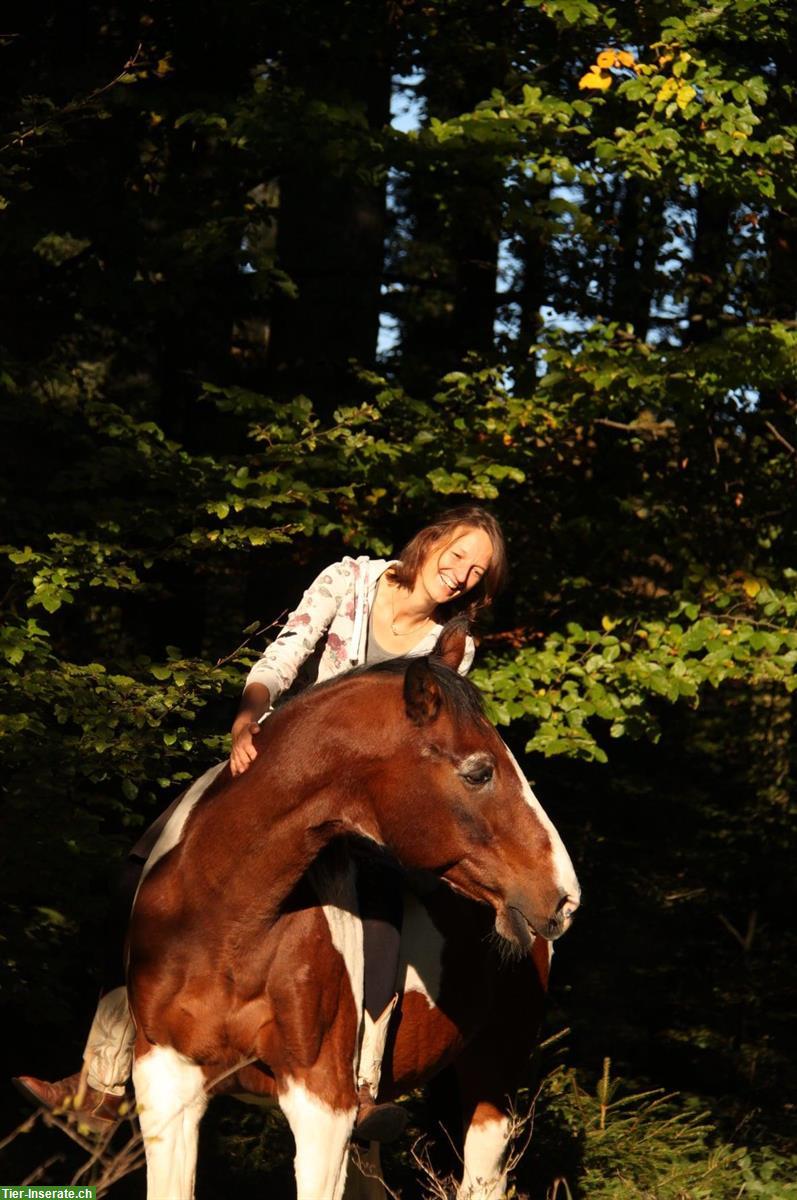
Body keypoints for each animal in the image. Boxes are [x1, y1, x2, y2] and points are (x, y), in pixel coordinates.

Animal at [127, 628, 583, 1200]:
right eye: (479, 772)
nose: (564, 895)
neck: (224, 920)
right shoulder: (166, 1082)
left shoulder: (322, 1104)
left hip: (494, 1077)